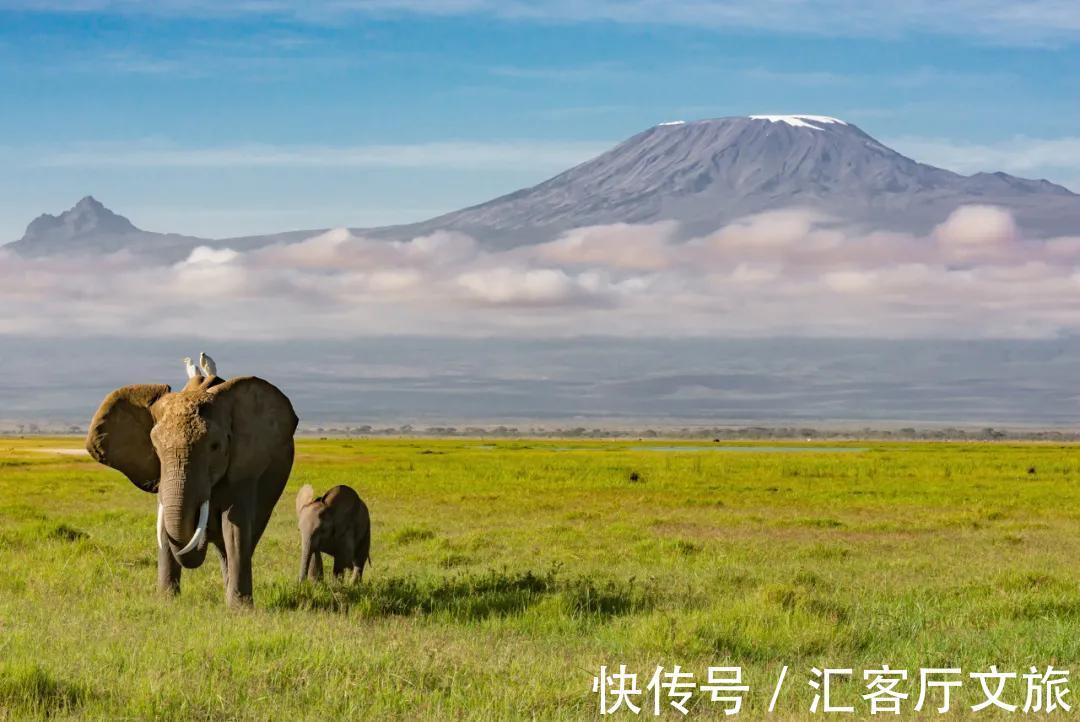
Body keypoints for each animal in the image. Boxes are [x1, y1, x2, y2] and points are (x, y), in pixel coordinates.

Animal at [83, 358, 300, 604]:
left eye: (215, 446)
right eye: (155, 447)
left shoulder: (245, 467)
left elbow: (235, 528)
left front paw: (240, 608)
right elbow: (165, 526)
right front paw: (167, 602)